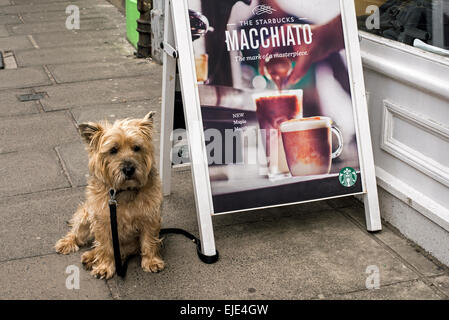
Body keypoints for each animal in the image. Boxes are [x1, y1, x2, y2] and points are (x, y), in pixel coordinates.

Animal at [54, 111, 163, 278]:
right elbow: (105, 246)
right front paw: (105, 267)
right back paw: (69, 244)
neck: (123, 191)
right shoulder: (103, 222)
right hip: (86, 215)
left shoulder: (149, 217)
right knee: (77, 234)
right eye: (113, 150)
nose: (129, 169)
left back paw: (90, 257)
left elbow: (148, 240)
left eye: (136, 148)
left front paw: (151, 261)